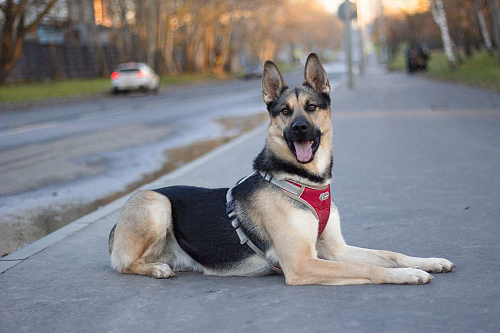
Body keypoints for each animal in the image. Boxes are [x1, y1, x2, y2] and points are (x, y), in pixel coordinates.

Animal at [107, 53, 456, 284]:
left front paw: (428, 262)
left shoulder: (336, 250)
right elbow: (369, 268)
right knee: (124, 263)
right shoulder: (302, 263)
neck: (303, 179)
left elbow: (389, 253)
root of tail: (115, 227)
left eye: (312, 107)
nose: (300, 128)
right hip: (155, 202)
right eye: (285, 111)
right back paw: (156, 269)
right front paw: (409, 274)